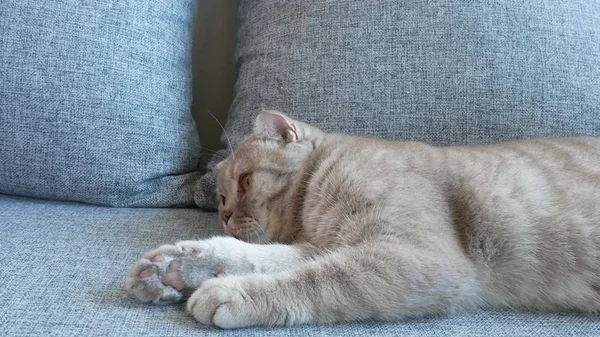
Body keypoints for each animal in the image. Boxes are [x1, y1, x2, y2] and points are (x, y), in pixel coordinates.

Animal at [124, 111, 600, 328]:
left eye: (244, 183)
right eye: (220, 196)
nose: (222, 213)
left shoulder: (412, 257)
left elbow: (311, 281)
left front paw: (229, 292)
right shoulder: (323, 246)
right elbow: (254, 257)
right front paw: (177, 266)